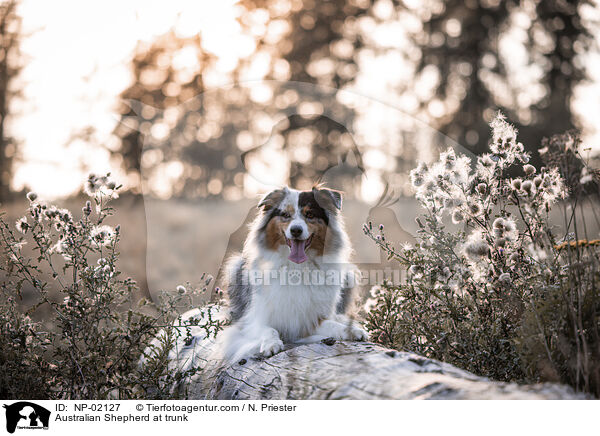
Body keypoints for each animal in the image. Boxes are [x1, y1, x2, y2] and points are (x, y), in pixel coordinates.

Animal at [223, 184, 368, 362]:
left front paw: (353, 331)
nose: (296, 230)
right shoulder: (252, 320)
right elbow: (268, 329)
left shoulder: (309, 319)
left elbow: (333, 325)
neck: (297, 268)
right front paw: (271, 344)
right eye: (285, 215)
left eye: (310, 214)